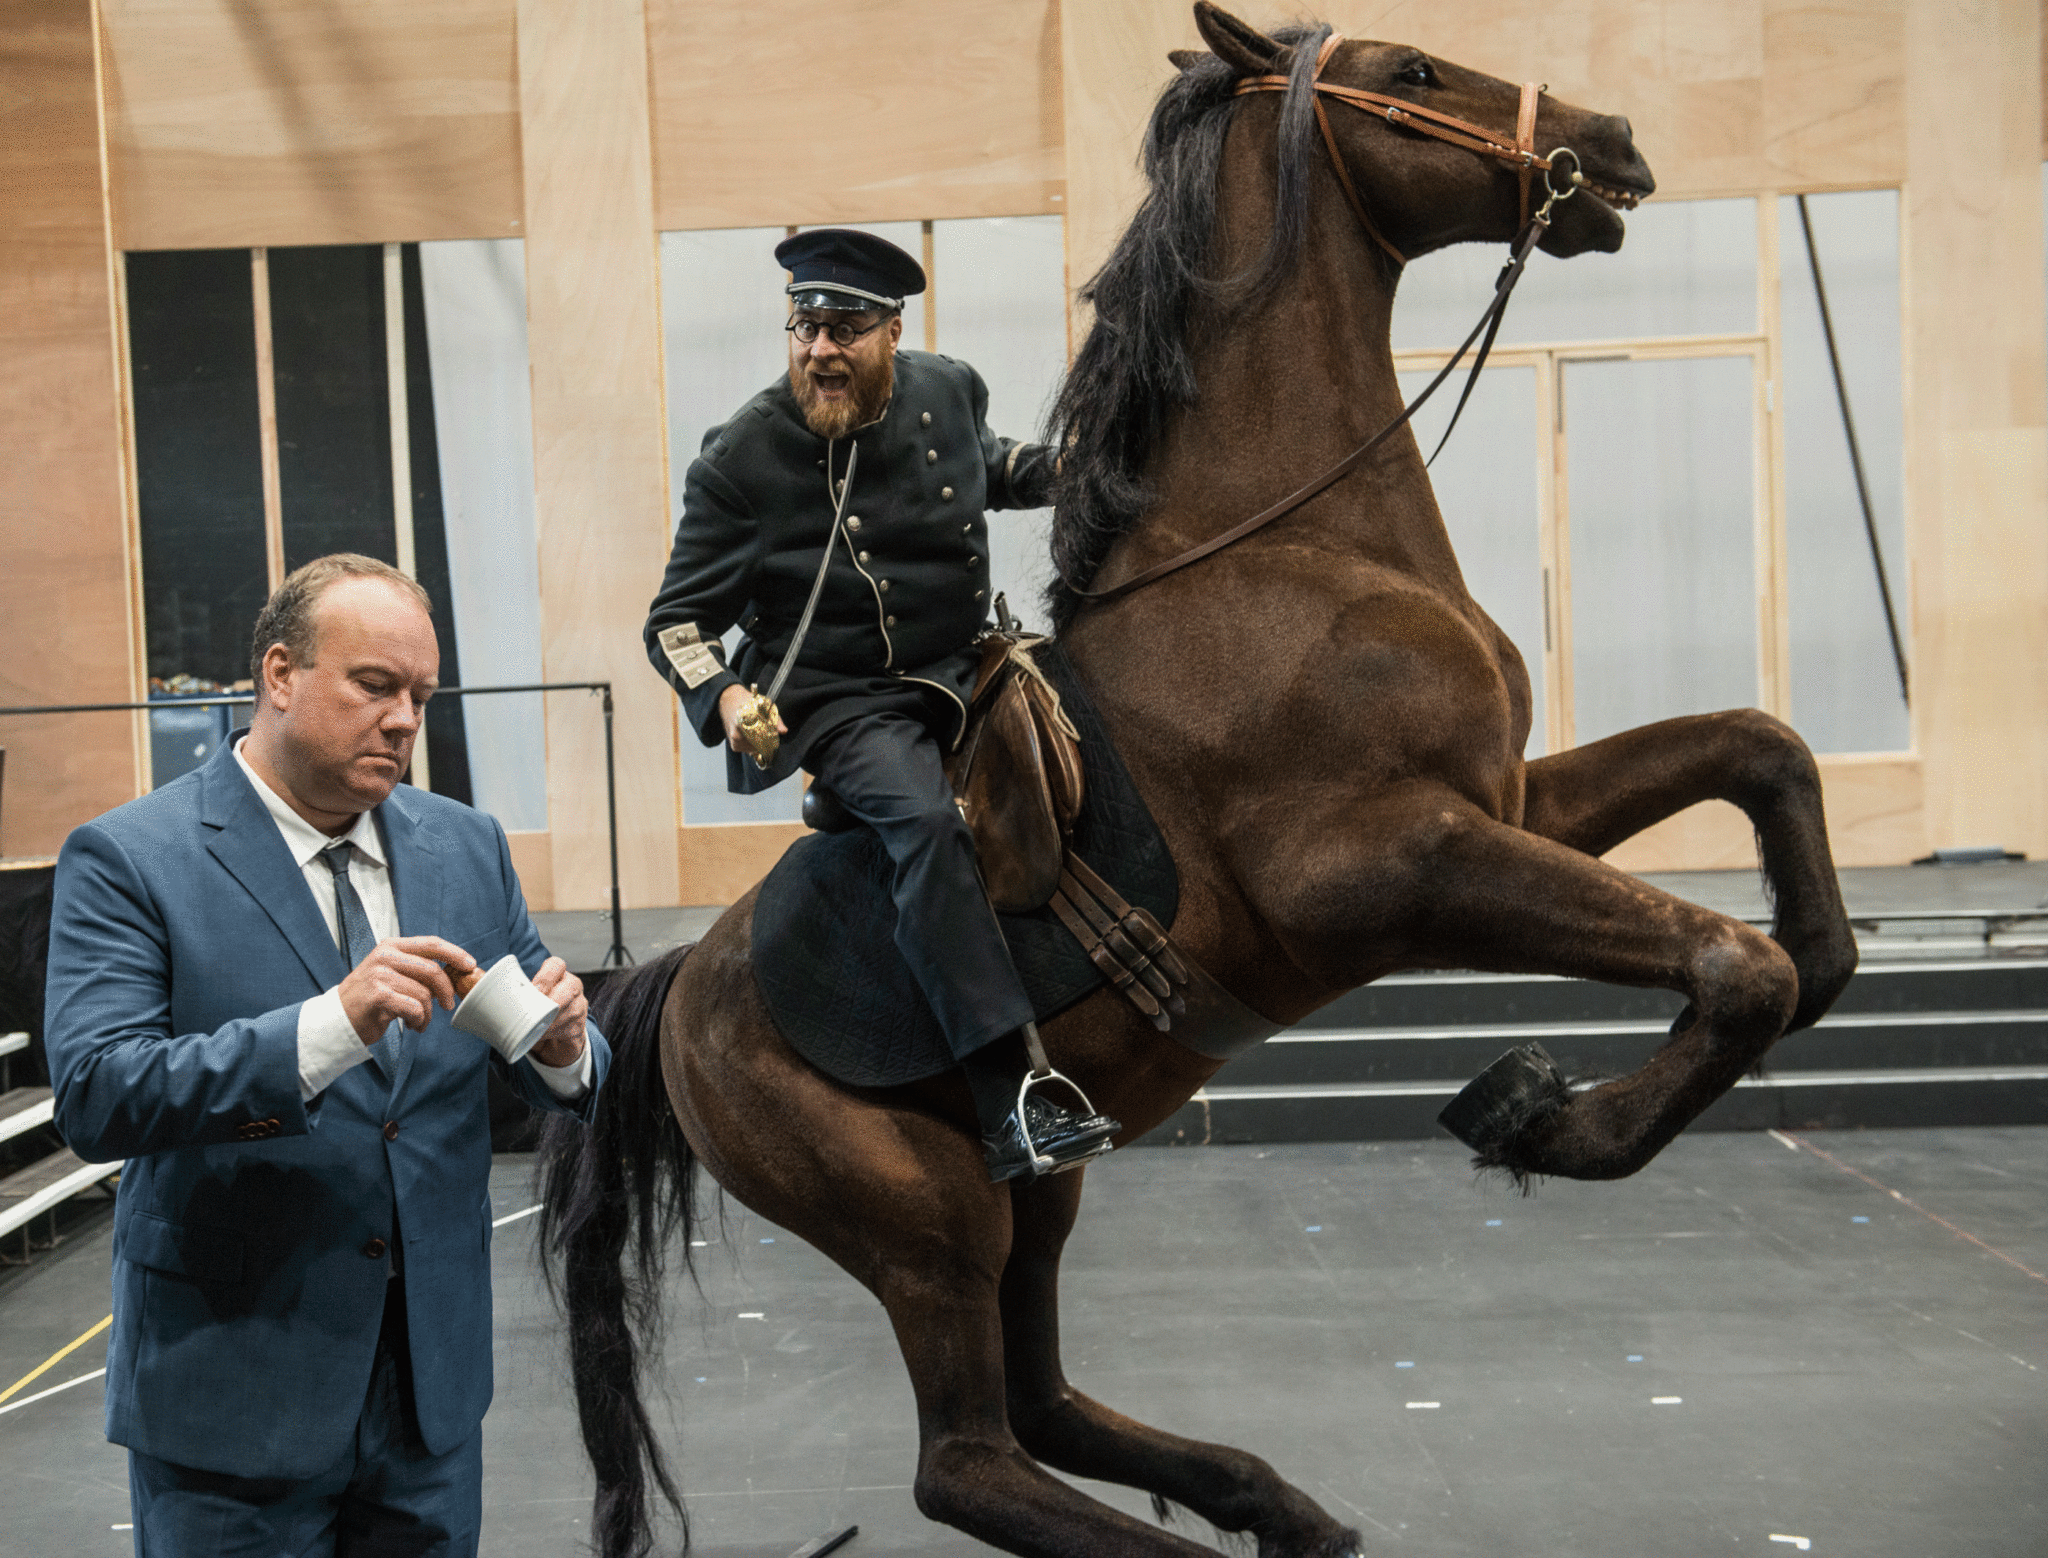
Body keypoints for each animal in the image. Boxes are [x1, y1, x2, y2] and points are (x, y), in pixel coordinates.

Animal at [540, 6, 1859, 1547]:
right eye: (1411, 71)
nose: (1613, 143)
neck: (1285, 551)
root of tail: (676, 987)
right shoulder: (1389, 867)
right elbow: (1726, 961)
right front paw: (1548, 1118)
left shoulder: (1512, 801)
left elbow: (1761, 753)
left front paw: (1814, 964)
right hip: (927, 1221)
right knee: (968, 1460)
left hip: (1030, 1207)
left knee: (1040, 1408)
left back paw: (1276, 1501)